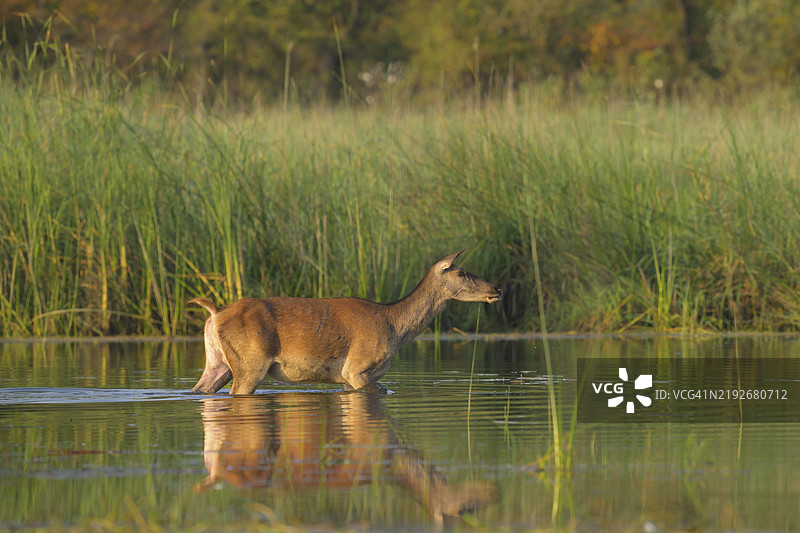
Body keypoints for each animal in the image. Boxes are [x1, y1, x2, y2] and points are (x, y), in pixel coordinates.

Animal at [189, 249, 502, 395]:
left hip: (218, 361)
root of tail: (215, 312)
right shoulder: (357, 368)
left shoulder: (347, 378)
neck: (395, 327)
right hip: (250, 363)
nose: (497, 289)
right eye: (461, 273)